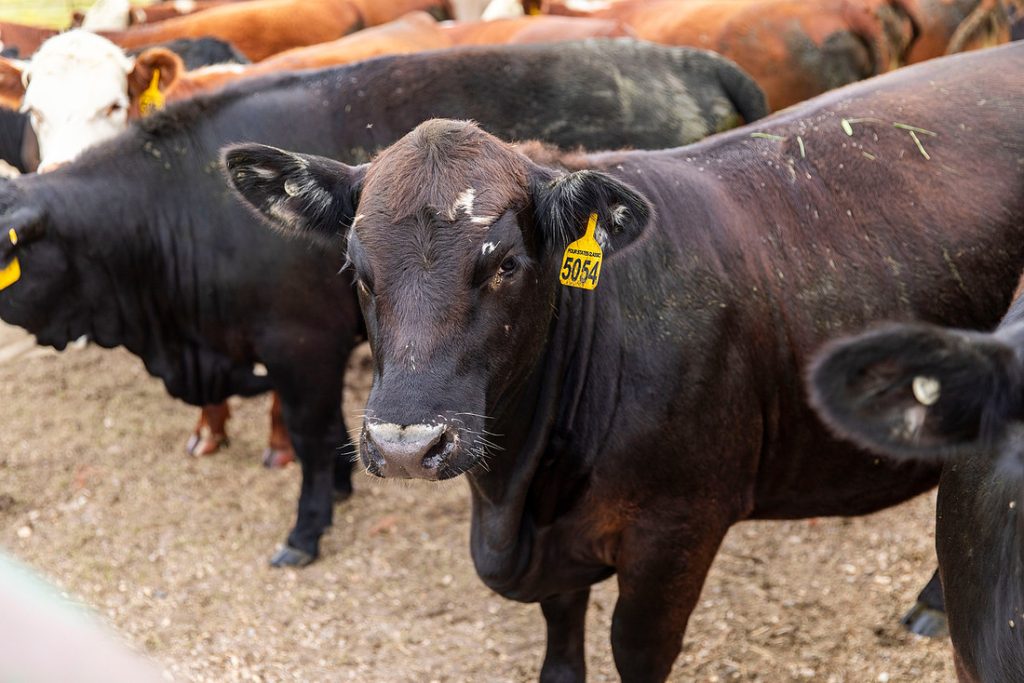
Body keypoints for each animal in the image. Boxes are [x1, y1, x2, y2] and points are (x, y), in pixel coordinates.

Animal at [0, 40, 766, 568]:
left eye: (506, 264)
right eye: (355, 268)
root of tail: (693, 59)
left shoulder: (301, 345)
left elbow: (311, 436)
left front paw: (306, 530)